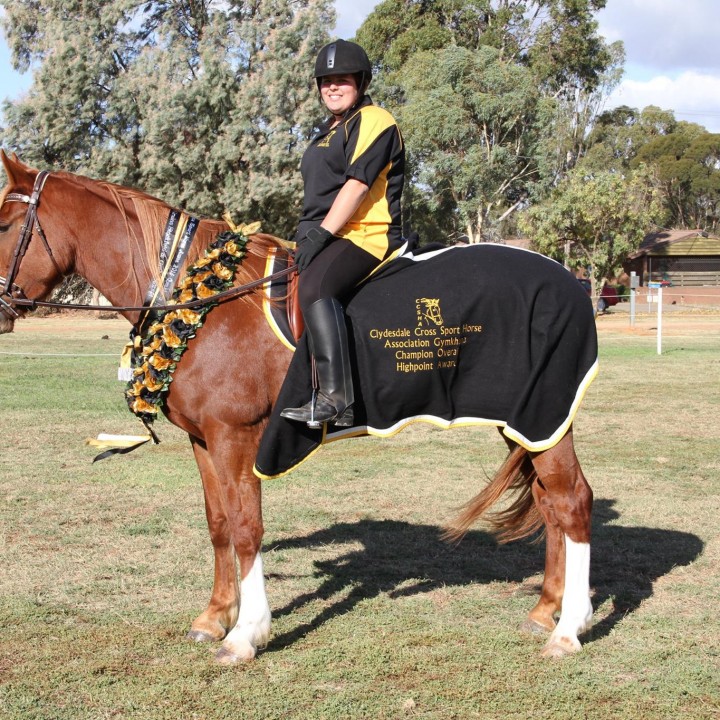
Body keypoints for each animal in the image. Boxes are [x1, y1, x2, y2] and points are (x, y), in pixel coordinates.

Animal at [0, 151, 595, 662]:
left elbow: (246, 527)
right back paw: (546, 609)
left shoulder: (236, 436)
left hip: (543, 415)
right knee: (549, 504)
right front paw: (215, 616)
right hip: (527, 423)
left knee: (572, 502)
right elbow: (219, 523)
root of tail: (568, 277)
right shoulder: (203, 439)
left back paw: (567, 630)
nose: (0, 309)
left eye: (5, 225)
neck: (202, 299)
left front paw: (246, 633)